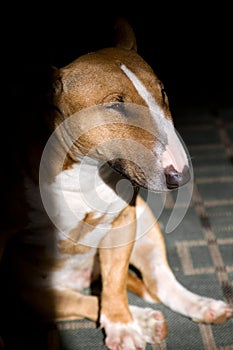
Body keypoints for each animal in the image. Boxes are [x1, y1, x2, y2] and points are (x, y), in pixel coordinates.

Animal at [0, 18, 232, 350]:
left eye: (163, 93)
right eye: (115, 106)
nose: (182, 175)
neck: (84, 170)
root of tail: (78, 278)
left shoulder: (124, 219)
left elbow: (115, 282)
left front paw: (122, 325)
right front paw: (126, 326)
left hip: (145, 223)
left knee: (158, 280)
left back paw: (196, 307)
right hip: (26, 295)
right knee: (77, 302)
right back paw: (144, 319)